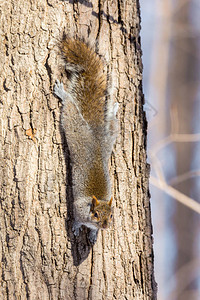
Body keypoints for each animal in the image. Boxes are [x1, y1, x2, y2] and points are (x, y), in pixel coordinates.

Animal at [53, 38, 119, 244]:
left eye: (112, 215)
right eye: (96, 214)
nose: (105, 226)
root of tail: (94, 135)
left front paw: (93, 234)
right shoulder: (78, 208)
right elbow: (76, 219)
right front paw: (76, 227)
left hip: (109, 138)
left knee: (112, 124)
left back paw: (114, 110)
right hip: (74, 127)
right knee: (70, 109)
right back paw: (63, 93)